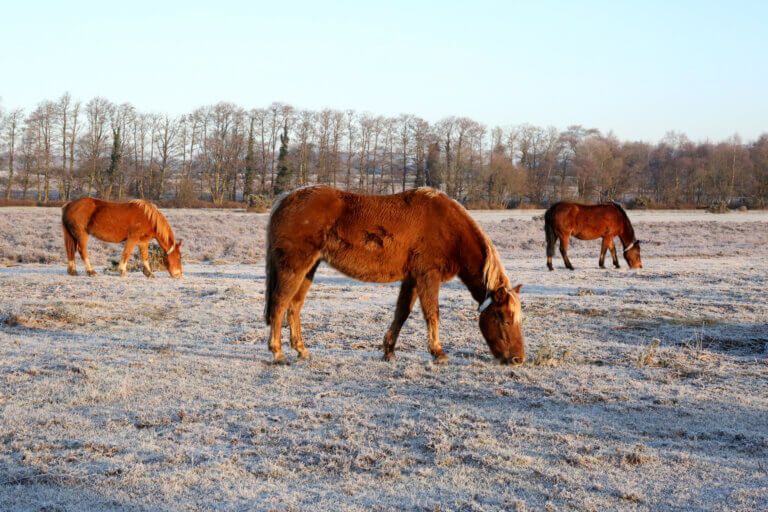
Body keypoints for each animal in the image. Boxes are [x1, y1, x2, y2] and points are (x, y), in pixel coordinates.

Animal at [262, 186, 520, 366]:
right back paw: (278, 353)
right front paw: (438, 353)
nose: (518, 359)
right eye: (504, 319)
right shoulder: (427, 277)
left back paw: (301, 350)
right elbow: (432, 314)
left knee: (294, 307)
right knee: (279, 304)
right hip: (294, 268)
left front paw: (388, 350)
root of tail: (285, 199)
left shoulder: (412, 279)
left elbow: (401, 313)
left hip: (309, 269)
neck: (448, 229)